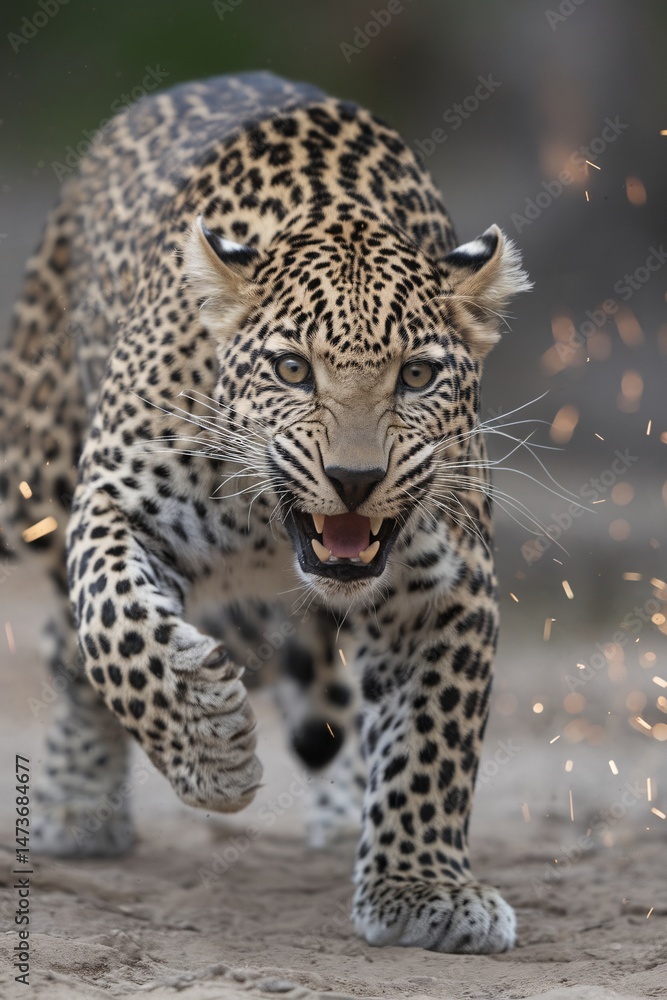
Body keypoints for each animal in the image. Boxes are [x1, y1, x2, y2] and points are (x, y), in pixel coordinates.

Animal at [0, 71, 531, 953]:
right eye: (291, 369)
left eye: (416, 376)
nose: (354, 478)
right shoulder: (113, 502)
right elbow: (117, 633)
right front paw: (208, 747)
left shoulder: (444, 585)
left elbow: (431, 739)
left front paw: (421, 887)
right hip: (31, 475)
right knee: (62, 639)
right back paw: (82, 804)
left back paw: (346, 802)